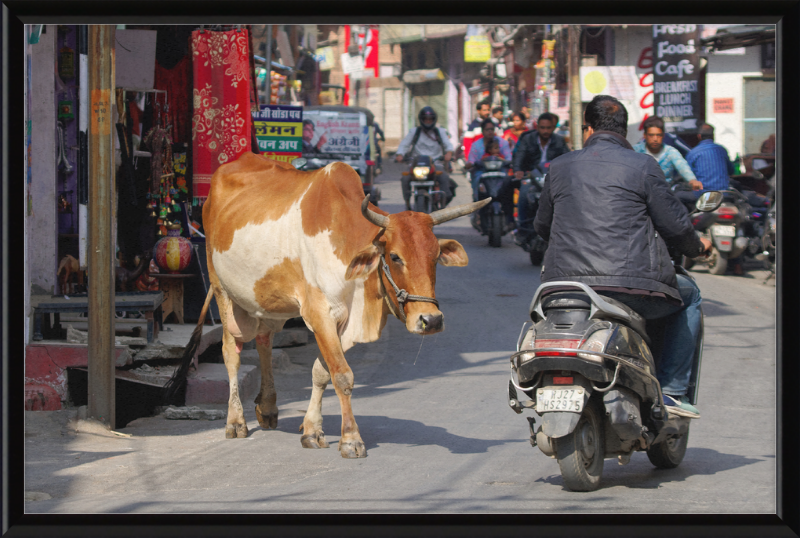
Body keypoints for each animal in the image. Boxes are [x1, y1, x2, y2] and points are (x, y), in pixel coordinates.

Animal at [166, 152, 484, 456]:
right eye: (395, 256)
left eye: (435, 256)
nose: (431, 320)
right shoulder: (320, 314)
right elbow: (342, 375)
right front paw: (350, 440)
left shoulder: (340, 321)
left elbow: (321, 372)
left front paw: (311, 430)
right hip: (222, 289)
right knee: (231, 351)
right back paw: (235, 421)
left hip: (266, 301)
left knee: (265, 341)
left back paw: (267, 407)